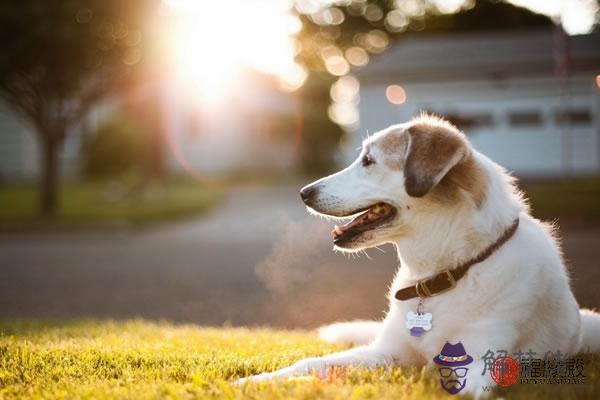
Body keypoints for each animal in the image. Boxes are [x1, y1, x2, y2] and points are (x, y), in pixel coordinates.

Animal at [238, 114, 600, 396]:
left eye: (368, 161)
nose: (303, 192)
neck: (444, 275)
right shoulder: (386, 352)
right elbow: (312, 363)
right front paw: (259, 381)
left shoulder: (478, 360)